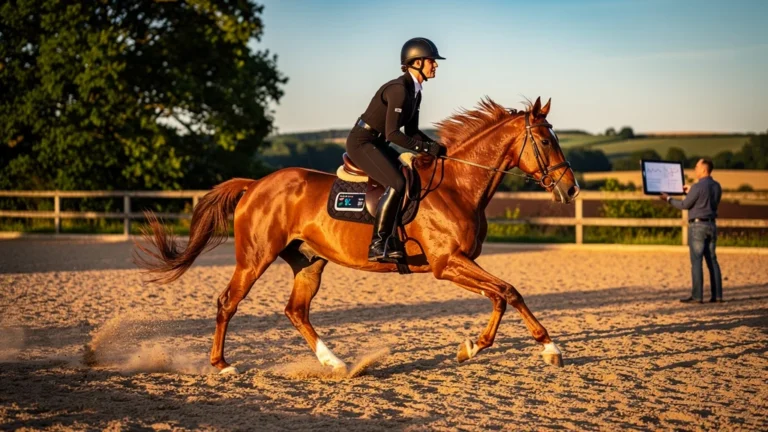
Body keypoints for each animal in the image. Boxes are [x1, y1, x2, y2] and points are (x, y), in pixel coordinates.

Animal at [134, 96, 580, 375]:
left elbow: (500, 296)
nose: (571, 189)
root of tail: (256, 184)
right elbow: (509, 292)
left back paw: (335, 364)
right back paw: (222, 366)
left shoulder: (462, 262)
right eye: (544, 140)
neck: (456, 185)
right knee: (228, 302)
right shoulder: (447, 263)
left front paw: (471, 347)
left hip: (309, 261)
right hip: (255, 257)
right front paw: (549, 348)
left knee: (296, 311)